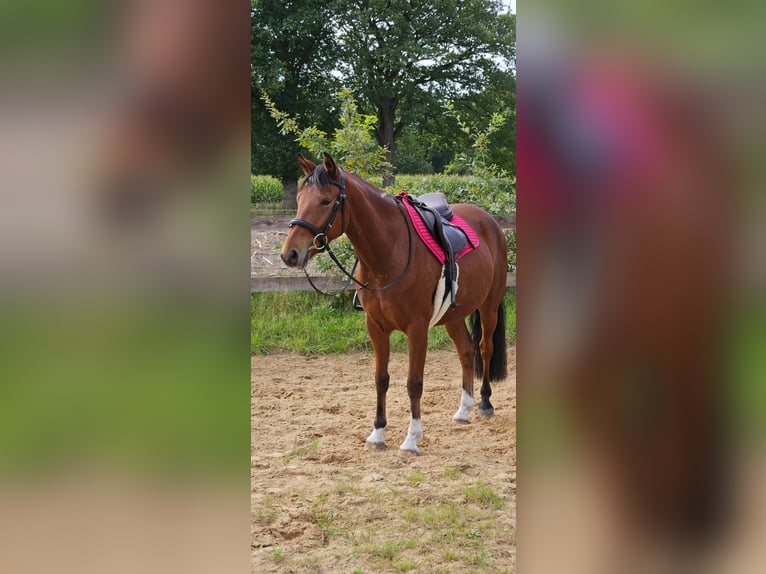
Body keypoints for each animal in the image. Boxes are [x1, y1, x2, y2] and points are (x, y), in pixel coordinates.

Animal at [280, 153, 508, 454]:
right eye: (299, 199)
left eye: (325, 201)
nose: (290, 254)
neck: (389, 253)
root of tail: (490, 223)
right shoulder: (376, 327)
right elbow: (381, 379)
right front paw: (377, 434)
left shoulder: (417, 329)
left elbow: (414, 383)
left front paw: (411, 439)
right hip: (453, 316)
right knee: (466, 351)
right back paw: (464, 410)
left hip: (489, 306)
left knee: (484, 348)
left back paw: (484, 403)